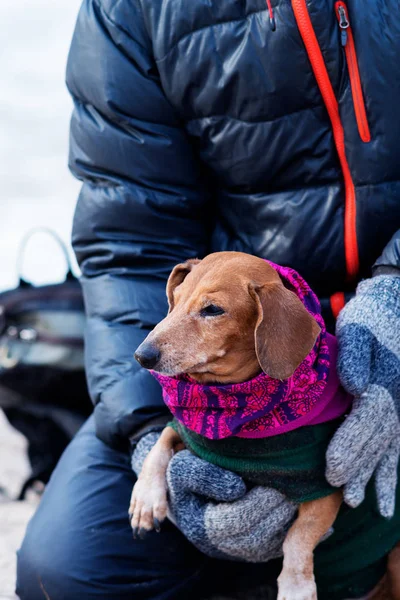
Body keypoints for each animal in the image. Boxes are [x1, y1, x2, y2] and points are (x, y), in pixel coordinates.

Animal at [130, 252, 398, 600]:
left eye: (212, 310)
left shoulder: (324, 487)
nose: (142, 356)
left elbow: (298, 536)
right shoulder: (195, 436)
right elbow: (163, 437)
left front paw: (296, 587)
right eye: (174, 300)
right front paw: (146, 498)